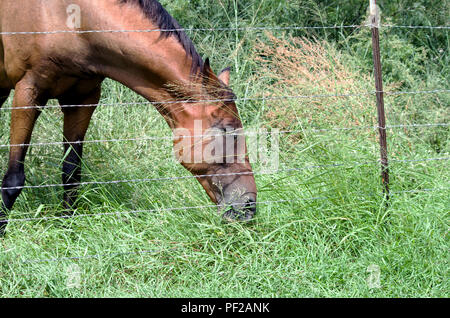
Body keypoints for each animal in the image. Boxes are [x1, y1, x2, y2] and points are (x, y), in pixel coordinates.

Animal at [0, 0, 256, 234]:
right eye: (225, 130)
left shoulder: (82, 99)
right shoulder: (28, 92)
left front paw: (66, 229)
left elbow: (71, 172)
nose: (249, 206)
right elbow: (14, 179)